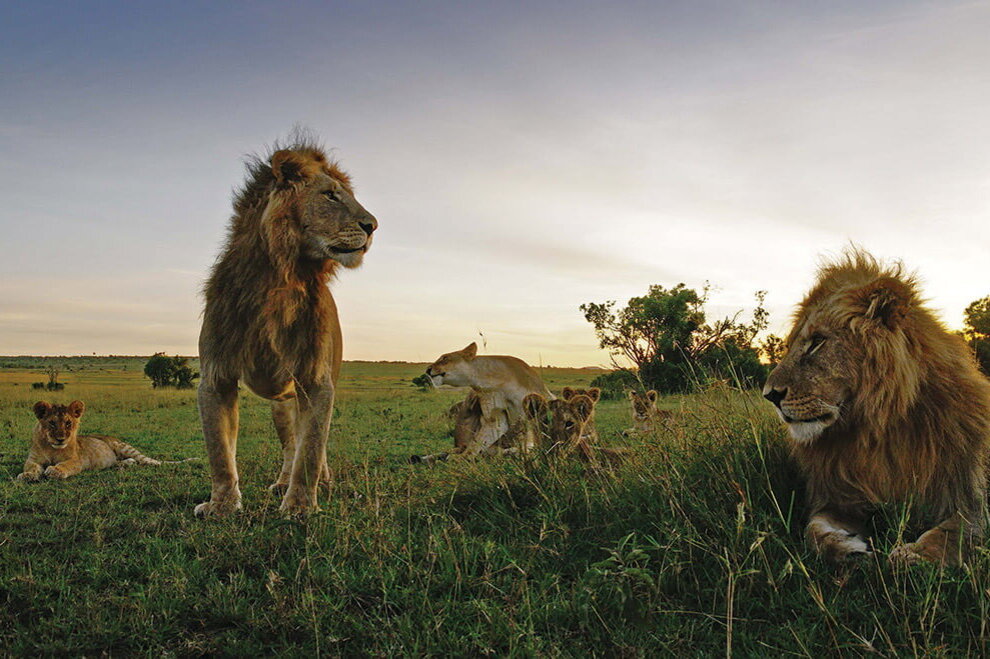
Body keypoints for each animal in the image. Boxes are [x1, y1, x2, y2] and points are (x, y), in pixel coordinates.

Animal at [18, 400, 173, 482]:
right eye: (52, 423)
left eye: (68, 423)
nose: (60, 439)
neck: (52, 448)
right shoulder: (32, 459)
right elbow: (32, 467)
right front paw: (27, 475)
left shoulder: (77, 460)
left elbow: (66, 465)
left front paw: (54, 470)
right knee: (124, 461)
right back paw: (125, 464)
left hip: (124, 447)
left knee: (149, 460)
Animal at [196, 131, 378, 520]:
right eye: (330, 195)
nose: (373, 226)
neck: (278, 279)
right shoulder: (216, 375)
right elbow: (219, 451)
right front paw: (222, 505)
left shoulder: (317, 378)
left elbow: (311, 450)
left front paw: (300, 507)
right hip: (281, 405)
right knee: (289, 444)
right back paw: (281, 481)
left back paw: (320, 482)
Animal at [768, 250, 990, 564]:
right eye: (791, 345)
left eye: (817, 342)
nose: (769, 395)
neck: (876, 431)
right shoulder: (838, 498)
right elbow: (813, 532)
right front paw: (847, 549)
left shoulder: (970, 502)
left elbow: (951, 536)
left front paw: (911, 557)